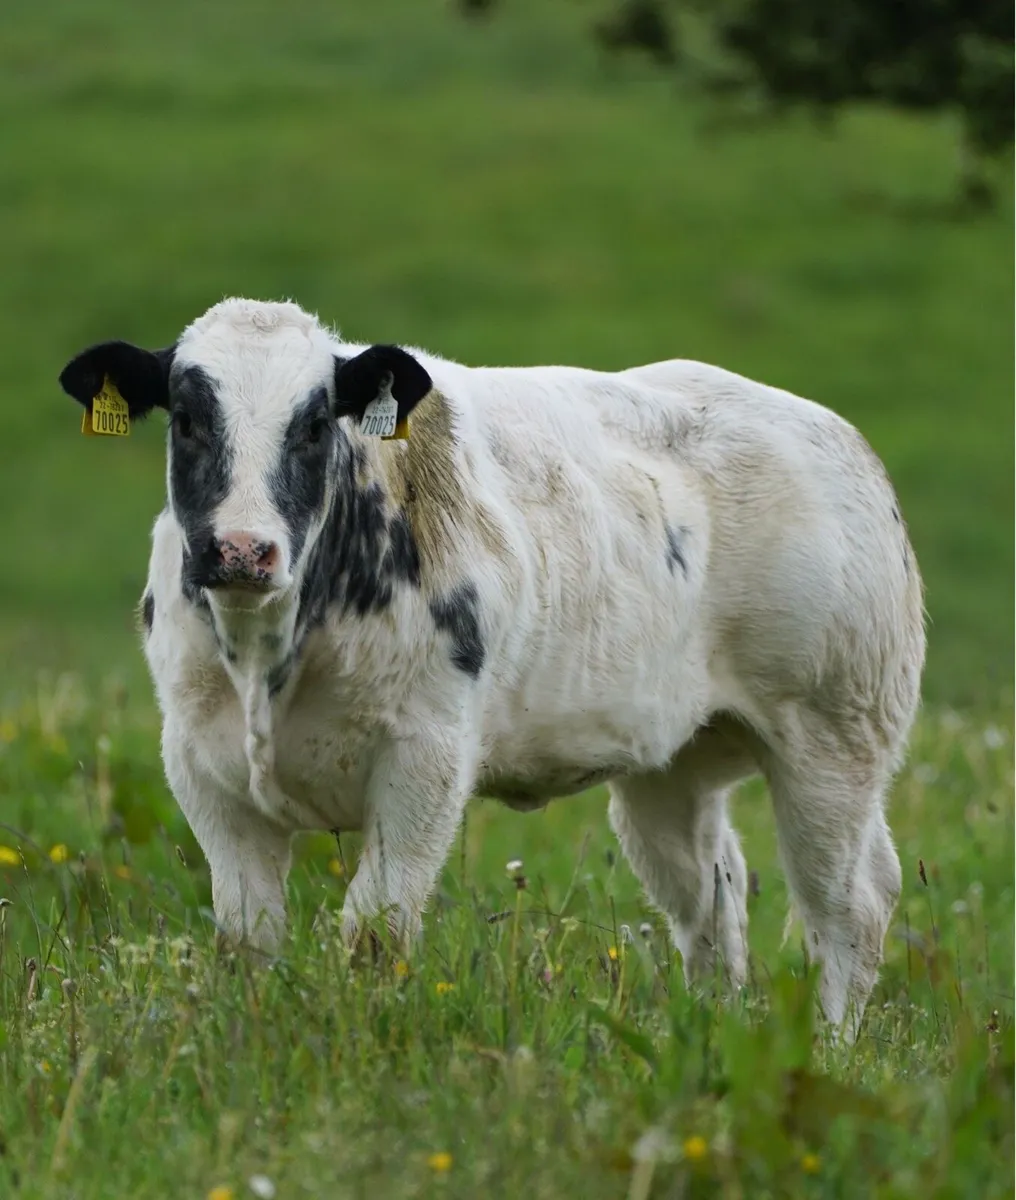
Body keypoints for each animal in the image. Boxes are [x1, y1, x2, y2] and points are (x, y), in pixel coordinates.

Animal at [59, 297, 925, 1039]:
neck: (267, 660)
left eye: (312, 427)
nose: (242, 550)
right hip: (674, 766)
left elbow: (374, 930)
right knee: (713, 897)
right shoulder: (201, 765)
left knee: (850, 905)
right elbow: (249, 938)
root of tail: (834, 435)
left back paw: (829, 1051)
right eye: (189, 420)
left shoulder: (427, 757)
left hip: (834, 735)